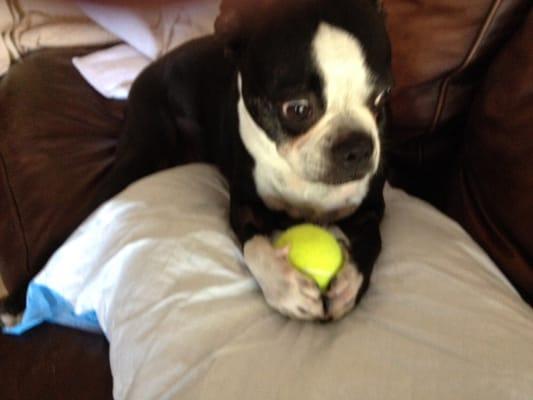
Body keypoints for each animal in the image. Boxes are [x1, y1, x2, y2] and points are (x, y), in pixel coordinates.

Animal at [0, 0, 390, 324]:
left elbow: (373, 242)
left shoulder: (370, 209)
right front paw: (285, 288)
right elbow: (255, 246)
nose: (357, 147)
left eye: (381, 98)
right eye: (297, 109)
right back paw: (18, 299)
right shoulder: (245, 206)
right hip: (138, 155)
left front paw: (349, 286)